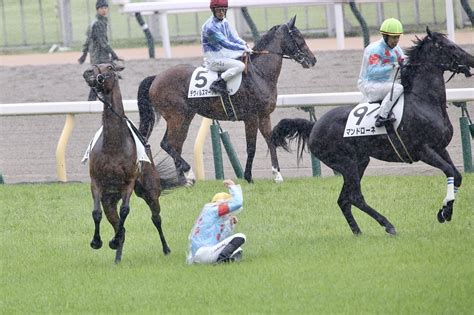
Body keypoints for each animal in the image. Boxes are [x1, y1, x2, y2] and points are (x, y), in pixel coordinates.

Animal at [82, 62, 177, 264]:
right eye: (96, 65)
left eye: (110, 67)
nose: (88, 72)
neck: (113, 145)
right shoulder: (97, 183)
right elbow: (96, 213)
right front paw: (97, 241)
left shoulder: (129, 182)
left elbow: (125, 210)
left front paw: (111, 241)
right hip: (109, 201)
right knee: (119, 226)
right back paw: (117, 256)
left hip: (150, 192)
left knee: (156, 218)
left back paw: (166, 248)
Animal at [136, 16, 314, 185]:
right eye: (298, 36)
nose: (313, 59)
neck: (259, 74)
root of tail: (156, 78)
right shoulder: (251, 117)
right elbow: (251, 147)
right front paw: (248, 177)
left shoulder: (264, 116)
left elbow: (270, 141)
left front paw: (277, 175)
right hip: (176, 116)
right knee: (167, 144)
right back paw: (189, 174)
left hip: (186, 117)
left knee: (176, 145)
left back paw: (183, 181)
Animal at [270, 28, 474, 236]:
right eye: (450, 46)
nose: (472, 59)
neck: (424, 101)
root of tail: (314, 126)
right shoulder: (424, 150)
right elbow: (449, 170)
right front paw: (445, 211)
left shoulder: (440, 148)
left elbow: (457, 175)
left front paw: (445, 211)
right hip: (346, 164)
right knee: (355, 197)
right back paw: (388, 224)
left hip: (360, 162)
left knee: (344, 199)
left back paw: (358, 232)